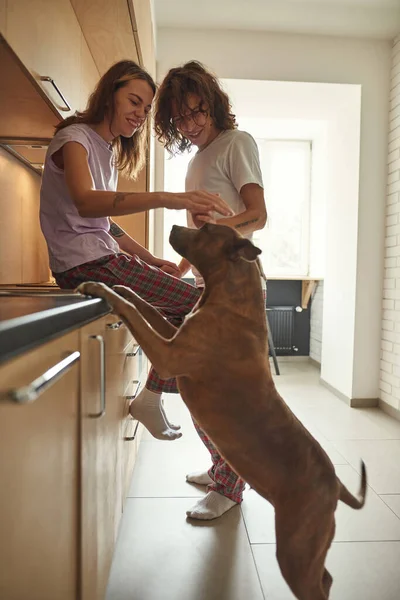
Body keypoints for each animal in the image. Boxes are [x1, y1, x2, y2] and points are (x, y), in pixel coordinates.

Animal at [76, 223, 368, 596]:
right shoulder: (172, 333)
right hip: (309, 548)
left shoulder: (167, 353)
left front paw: (100, 287)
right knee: (327, 578)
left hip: (296, 550)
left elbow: (133, 312)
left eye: (205, 228)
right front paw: (121, 285)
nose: (174, 225)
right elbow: (142, 305)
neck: (226, 298)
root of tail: (335, 483)